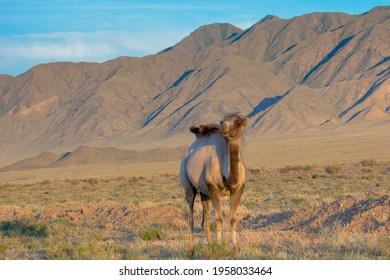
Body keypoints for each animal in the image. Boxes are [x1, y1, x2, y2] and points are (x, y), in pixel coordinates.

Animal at [179, 113, 247, 256]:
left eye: (237, 122)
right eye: (222, 121)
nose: (224, 127)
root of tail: (188, 152)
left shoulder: (238, 189)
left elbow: (232, 219)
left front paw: (236, 247)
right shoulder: (214, 187)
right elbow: (219, 220)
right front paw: (220, 246)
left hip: (205, 192)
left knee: (206, 220)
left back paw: (209, 245)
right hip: (186, 181)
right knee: (191, 218)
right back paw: (191, 251)